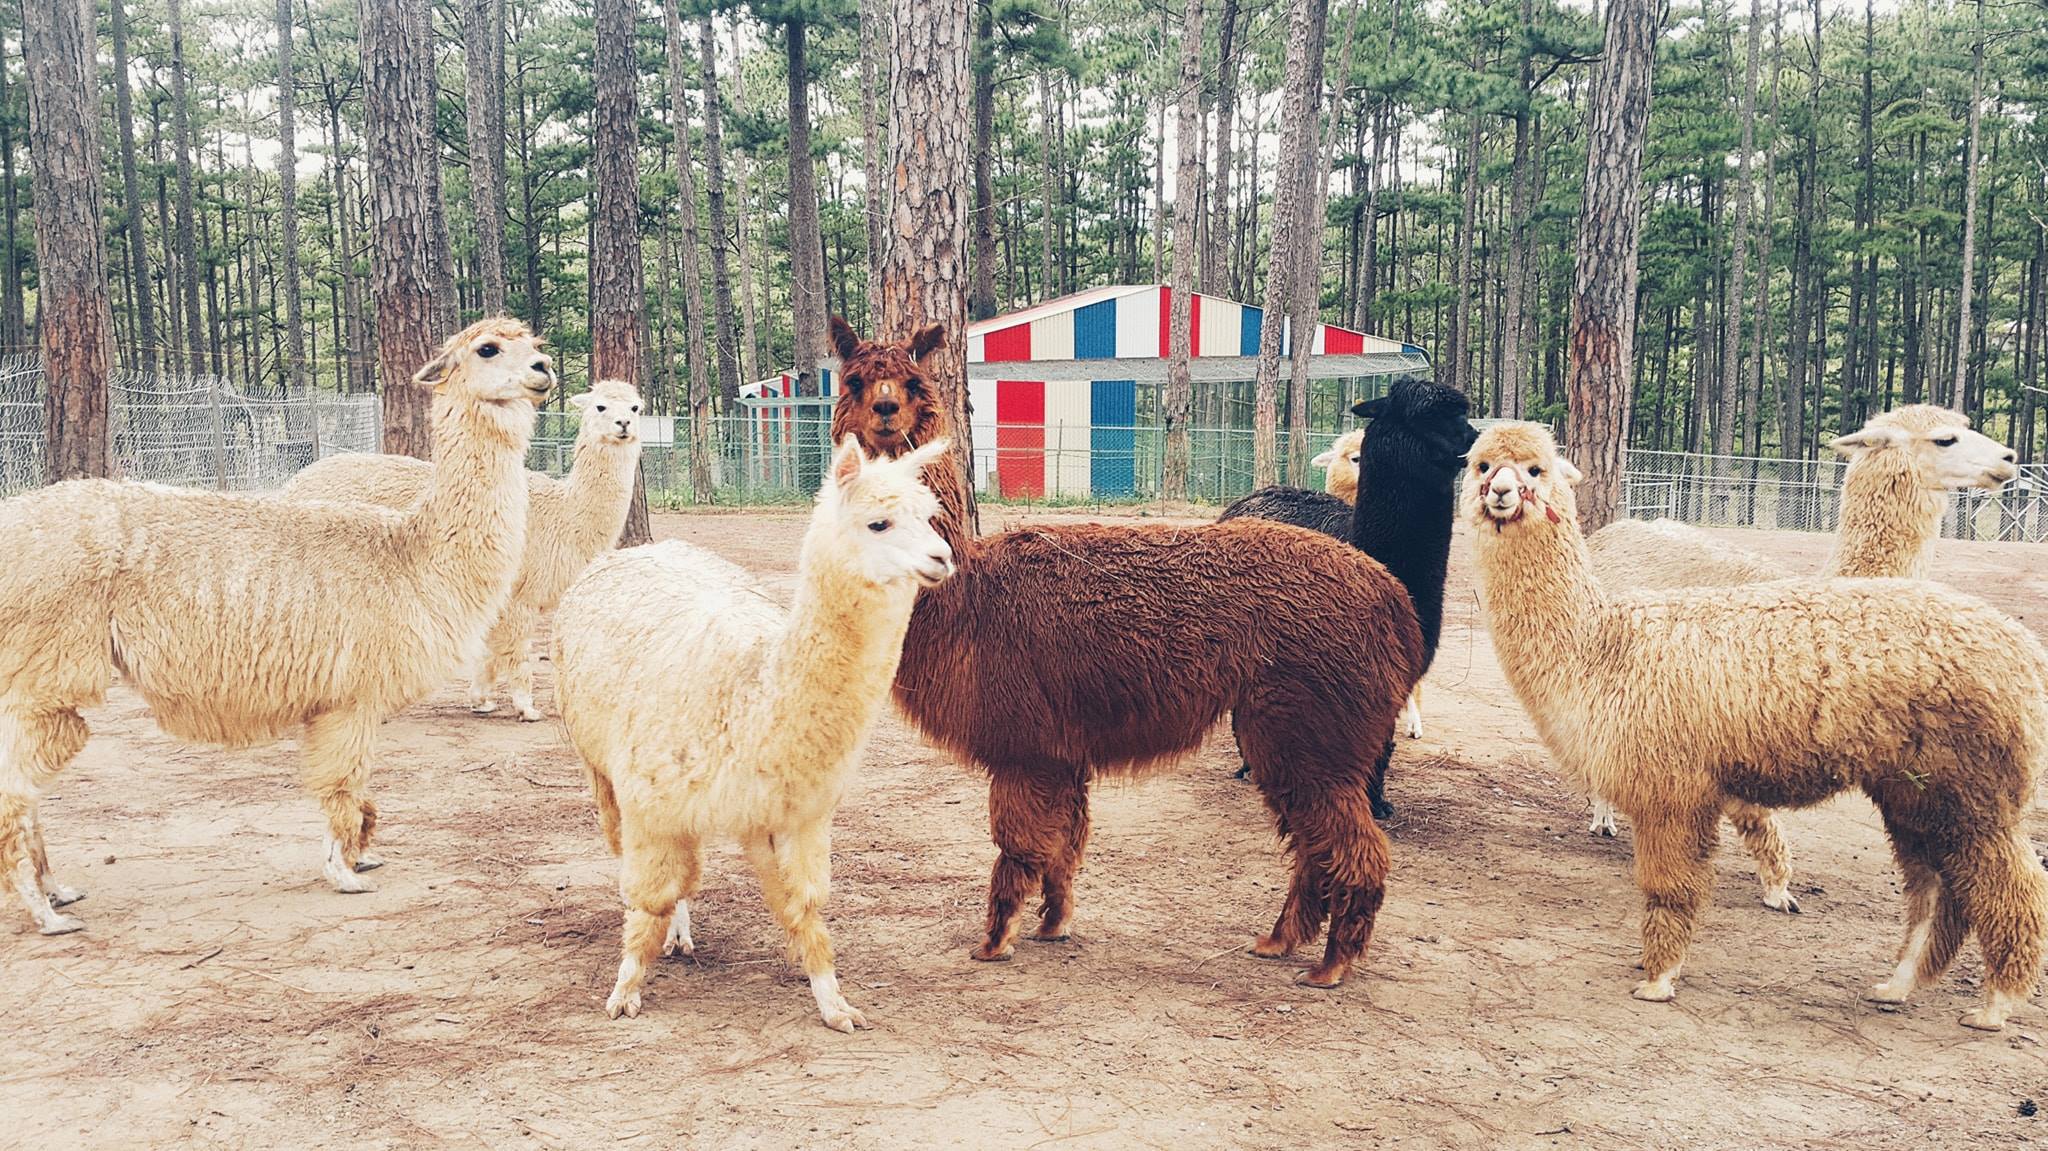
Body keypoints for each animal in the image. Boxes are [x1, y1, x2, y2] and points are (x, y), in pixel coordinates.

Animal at [0, 318, 552, 932]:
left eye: (537, 345)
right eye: (488, 349)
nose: (545, 371)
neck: (408, 559)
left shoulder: (339, 698)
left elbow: (352, 787)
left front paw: (362, 855)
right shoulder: (351, 697)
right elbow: (341, 781)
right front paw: (344, 873)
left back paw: (58, 891)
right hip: (45, 667)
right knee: (16, 790)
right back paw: (44, 911)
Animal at [285, 379, 645, 721]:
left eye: (635, 407)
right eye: (600, 406)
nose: (623, 424)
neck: (564, 513)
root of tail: (293, 485)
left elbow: (489, 653)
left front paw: (481, 701)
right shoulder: (518, 596)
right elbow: (516, 653)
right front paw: (527, 708)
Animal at [553, 435, 955, 1030]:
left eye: (930, 518)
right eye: (878, 523)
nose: (942, 558)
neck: (750, 693)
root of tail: (635, 550)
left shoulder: (795, 813)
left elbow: (803, 905)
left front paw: (835, 1003)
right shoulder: (652, 801)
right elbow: (648, 899)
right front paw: (625, 991)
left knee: (690, 872)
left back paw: (682, 935)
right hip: (601, 768)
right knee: (642, 860)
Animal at [1466, 420, 2048, 1030]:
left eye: (1536, 470)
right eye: (1481, 464)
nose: (1500, 491)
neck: (1602, 650)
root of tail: (2025, 649)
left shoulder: (1674, 789)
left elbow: (1671, 887)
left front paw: (1659, 979)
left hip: (1972, 788)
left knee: (2013, 883)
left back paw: (1994, 1004)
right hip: (1916, 790)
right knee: (1938, 885)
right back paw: (1897, 985)